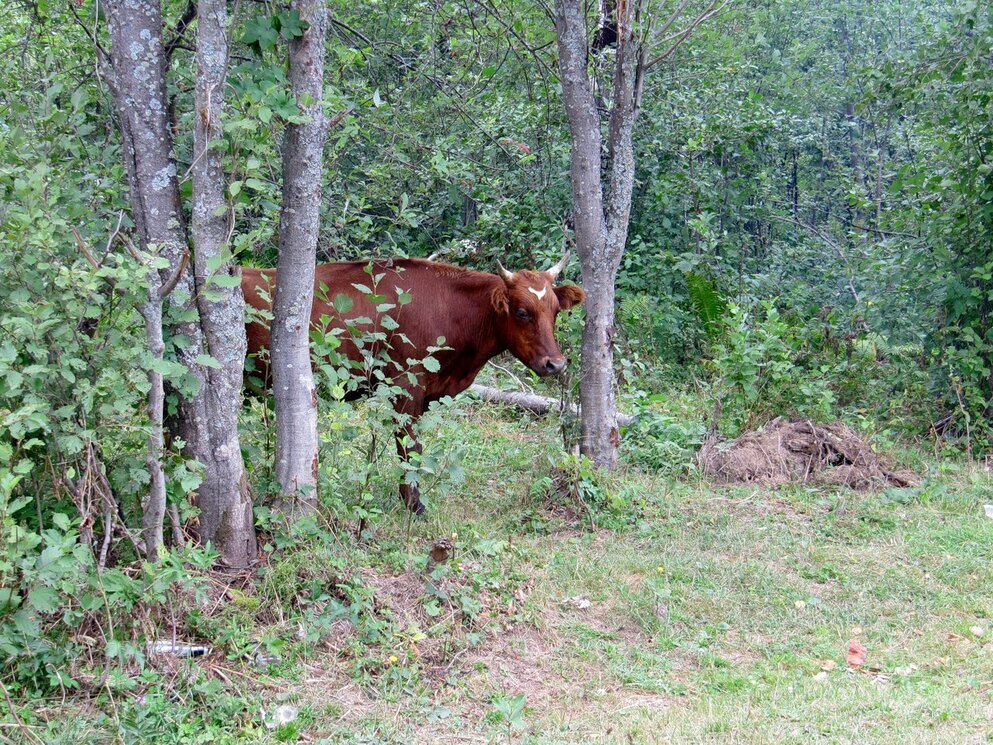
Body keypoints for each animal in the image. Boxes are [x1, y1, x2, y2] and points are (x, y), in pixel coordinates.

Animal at [243, 254, 580, 512]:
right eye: (522, 312)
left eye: (555, 311)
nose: (556, 363)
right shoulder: (405, 386)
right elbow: (409, 448)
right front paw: (413, 505)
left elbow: (416, 451)